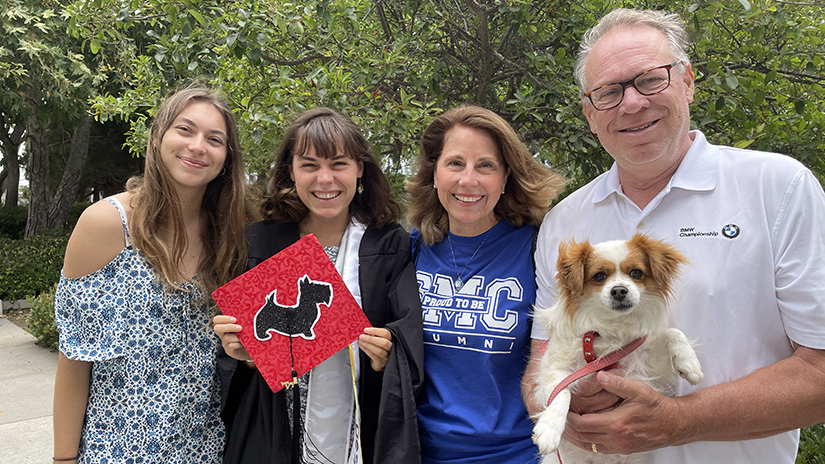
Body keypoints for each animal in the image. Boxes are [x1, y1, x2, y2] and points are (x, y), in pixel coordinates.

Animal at [536, 236, 700, 464]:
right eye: (599, 276)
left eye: (636, 272)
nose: (619, 290)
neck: (609, 330)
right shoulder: (554, 366)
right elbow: (561, 392)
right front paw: (549, 429)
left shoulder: (644, 368)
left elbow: (672, 332)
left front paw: (689, 364)